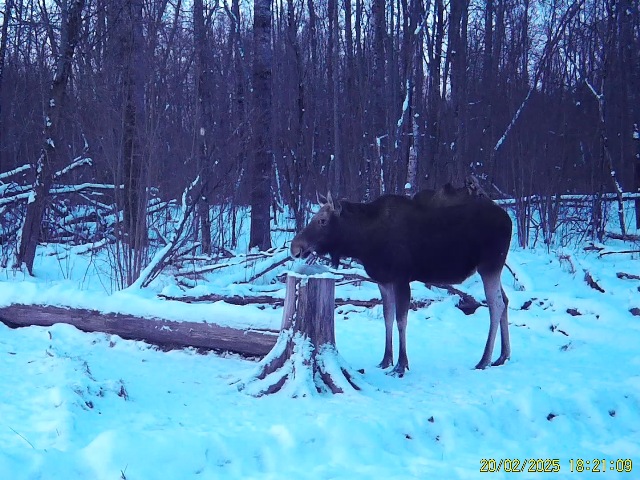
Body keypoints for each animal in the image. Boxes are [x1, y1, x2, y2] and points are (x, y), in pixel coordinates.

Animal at [290, 190, 512, 377]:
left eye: (322, 220)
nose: (295, 247)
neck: (363, 243)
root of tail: (509, 220)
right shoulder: (383, 281)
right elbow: (387, 318)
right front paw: (386, 360)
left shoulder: (401, 279)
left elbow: (400, 321)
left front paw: (401, 365)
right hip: (494, 268)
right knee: (506, 301)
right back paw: (503, 356)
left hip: (489, 265)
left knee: (496, 305)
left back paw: (484, 360)